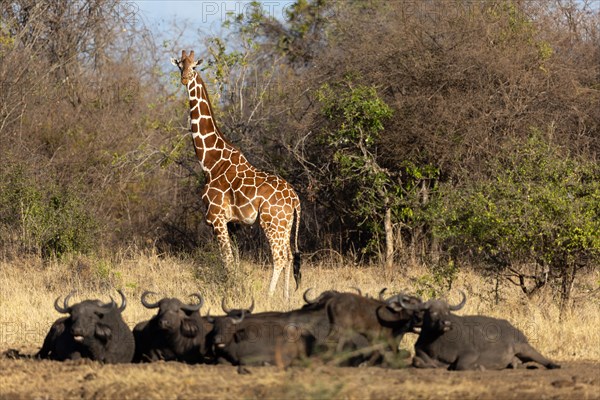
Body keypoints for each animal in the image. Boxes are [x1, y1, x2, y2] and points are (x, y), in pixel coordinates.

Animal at [404, 290, 564, 372]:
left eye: (447, 312)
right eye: (432, 312)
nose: (447, 323)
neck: (438, 342)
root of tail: (515, 329)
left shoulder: (471, 353)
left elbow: (461, 365)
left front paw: (478, 367)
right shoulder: (420, 350)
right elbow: (416, 360)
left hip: (525, 348)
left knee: (541, 358)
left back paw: (554, 365)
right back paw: (513, 364)